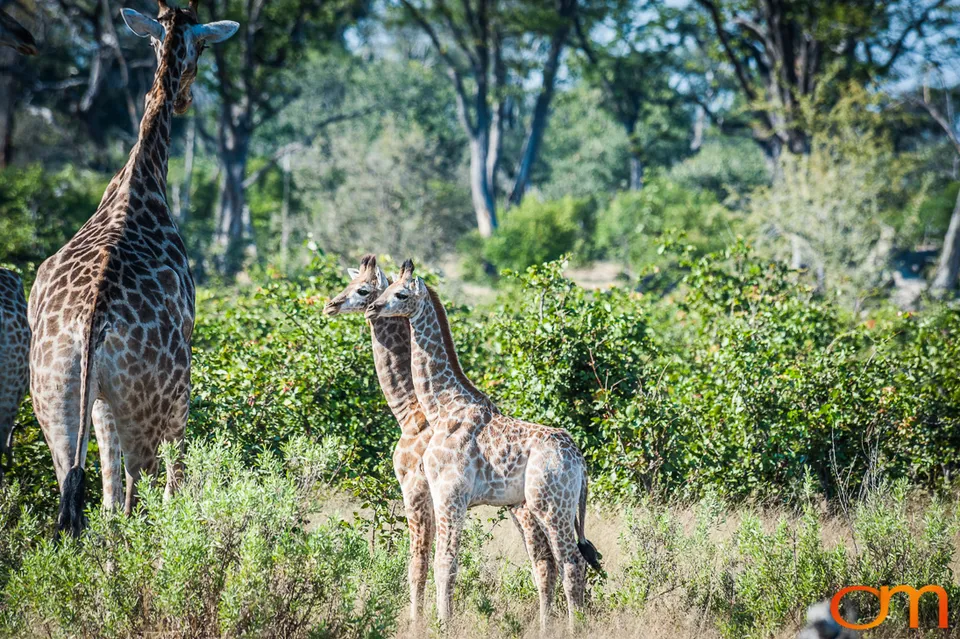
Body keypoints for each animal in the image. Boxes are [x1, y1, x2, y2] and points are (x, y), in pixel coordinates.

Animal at [27, 0, 237, 537]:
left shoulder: (100, 397)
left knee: (78, 493)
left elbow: (105, 482)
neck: (138, 180)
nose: (184, 100)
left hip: (54, 401)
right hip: (148, 403)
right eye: (201, 49)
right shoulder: (182, 379)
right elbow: (173, 472)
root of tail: (91, 321)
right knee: (135, 497)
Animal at [323, 255, 556, 624]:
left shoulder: (415, 488)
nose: (330, 305)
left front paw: (419, 622)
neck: (410, 411)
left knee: (551, 560)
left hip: (528, 509)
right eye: (350, 283)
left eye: (362, 289)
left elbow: (418, 563)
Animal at [368, 260, 602, 632]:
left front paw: (443, 626)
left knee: (571, 563)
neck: (443, 407)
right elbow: (441, 563)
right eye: (385, 289)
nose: (374, 308)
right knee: (555, 564)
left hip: (551, 505)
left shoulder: (450, 494)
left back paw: (573, 629)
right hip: (542, 507)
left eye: (401, 294)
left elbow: (445, 564)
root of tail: (579, 459)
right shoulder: (438, 494)